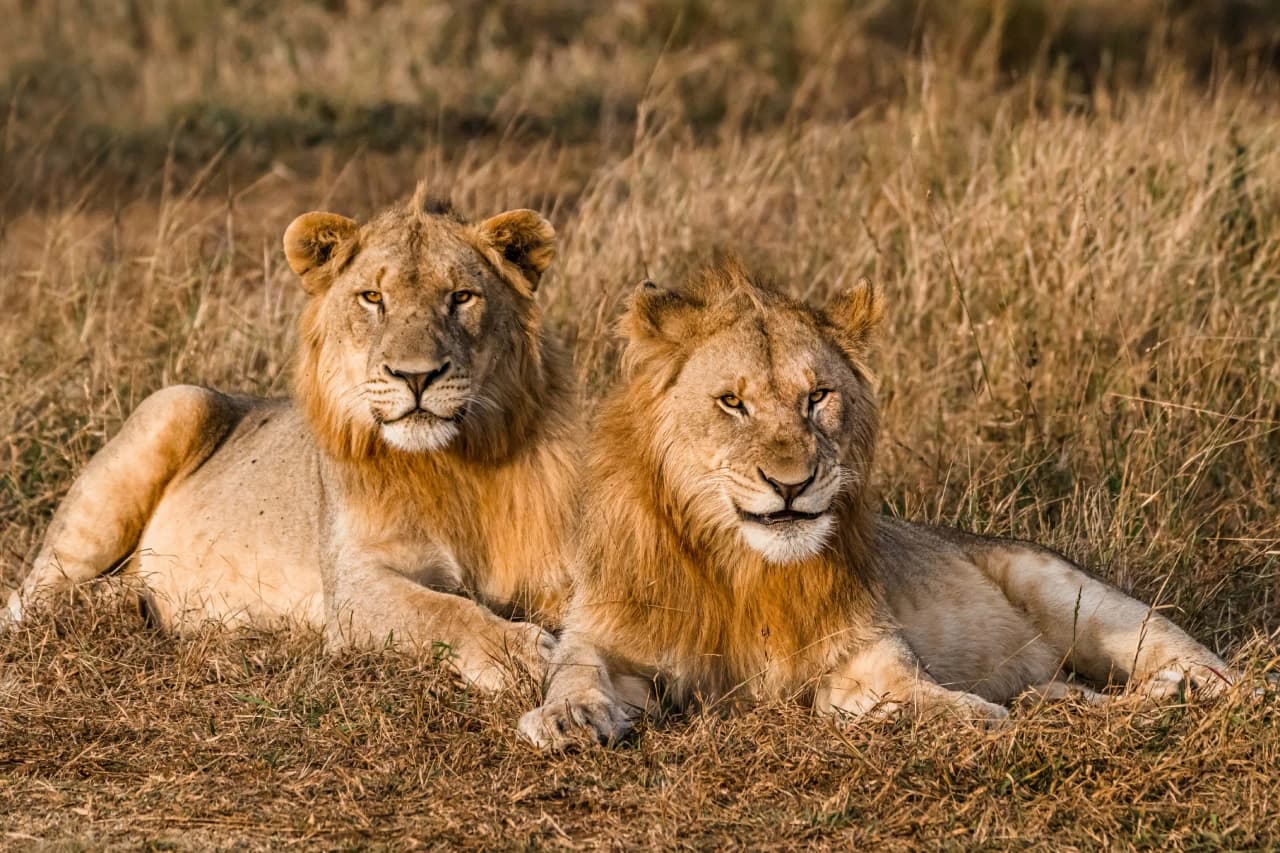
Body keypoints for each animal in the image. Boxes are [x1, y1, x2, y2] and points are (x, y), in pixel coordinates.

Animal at [7, 188, 580, 691]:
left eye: (461, 297)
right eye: (373, 298)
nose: (415, 376)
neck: (454, 460)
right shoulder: (353, 586)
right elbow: (446, 611)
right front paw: (521, 656)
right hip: (175, 404)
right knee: (26, 600)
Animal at [518, 261, 1235, 749]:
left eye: (818, 396)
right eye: (732, 402)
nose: (792, 483)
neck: (747, 571)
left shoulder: (867, 650)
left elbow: (911, 690)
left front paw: (967, 712)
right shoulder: (607, 633)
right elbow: (576, 669)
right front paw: (567, 718)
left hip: (1079, 597)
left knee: (1212, 675)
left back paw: (1175, 688)